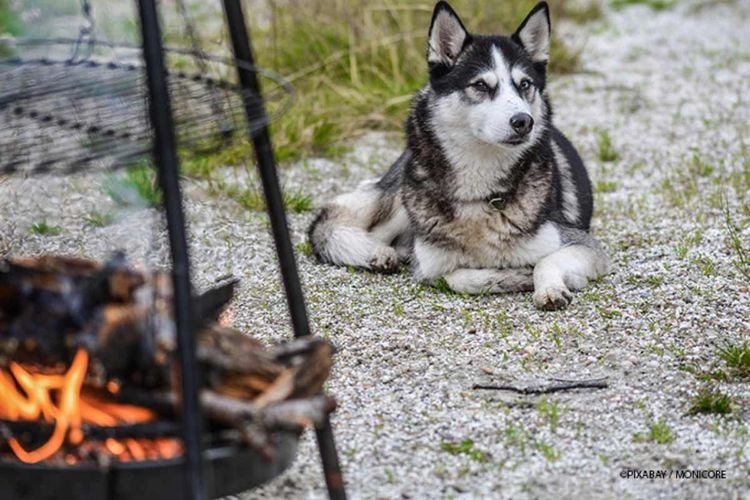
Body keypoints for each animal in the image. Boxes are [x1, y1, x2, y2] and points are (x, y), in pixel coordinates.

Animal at [310, 0, 612, 308]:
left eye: (525, 84)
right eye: (480, 85)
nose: (524, 122)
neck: (480, 192)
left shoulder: (583, 245)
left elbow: (545, 262)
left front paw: (549, 288)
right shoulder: (431, 266)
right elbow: (456, 277)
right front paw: (513, 276)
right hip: (401, 202)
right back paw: (379, 252)